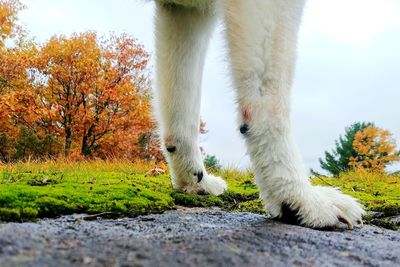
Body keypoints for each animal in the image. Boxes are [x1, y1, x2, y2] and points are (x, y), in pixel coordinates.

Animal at [154, 0, 366, 230]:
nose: (193, 185)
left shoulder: (185, 11)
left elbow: (182, 112)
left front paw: (194, 183)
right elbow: (271, 103)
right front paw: (299, 199)